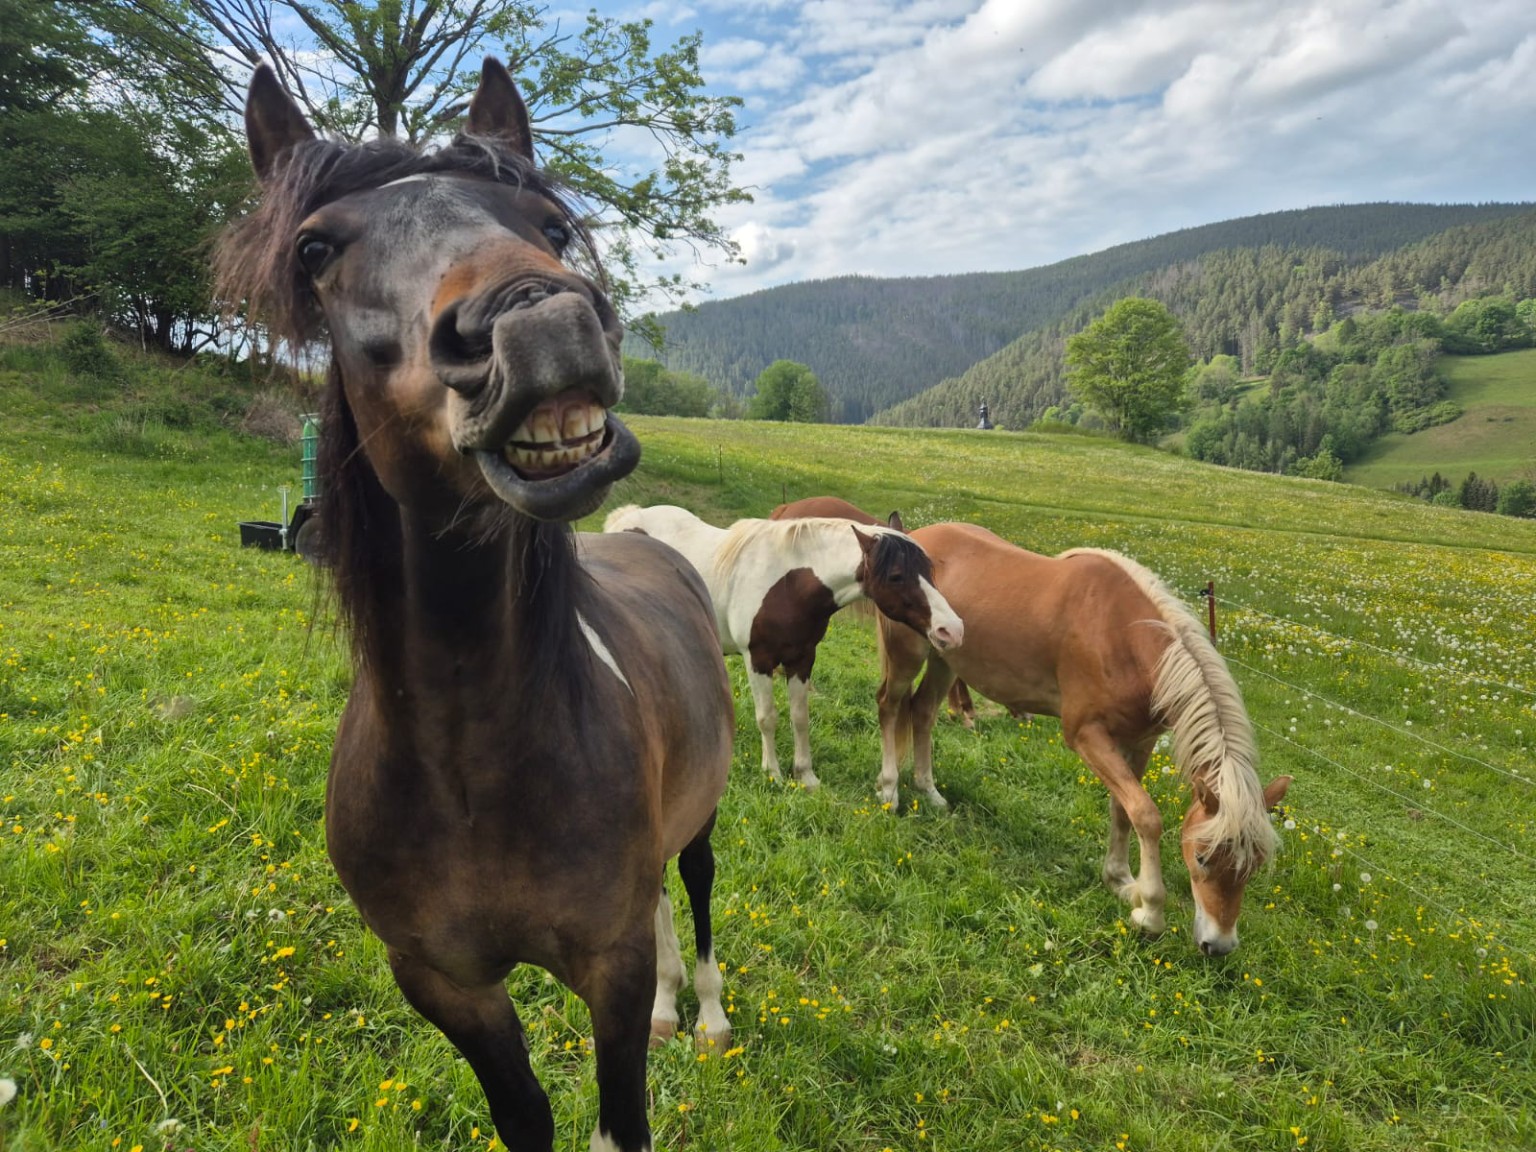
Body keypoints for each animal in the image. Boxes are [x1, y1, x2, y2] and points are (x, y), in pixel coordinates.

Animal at [219, 61, 735, 1152]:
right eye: (315, 248)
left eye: (551, 224)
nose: (538, 323)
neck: (472, 765)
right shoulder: (444, 985)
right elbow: (525, 1114)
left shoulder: (608, 968)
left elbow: (619, 1120)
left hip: (705, 818)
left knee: (700, 890)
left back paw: (706, 1016)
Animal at [604, 504, 963, 793]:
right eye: (897, 576)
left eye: (930, 569)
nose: (952, 629)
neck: (790, 585)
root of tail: (624, 520)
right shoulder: (759, 660)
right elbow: (768, 717)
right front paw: (773, 773)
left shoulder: (802, 660)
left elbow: (800, 716)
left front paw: (805, 775)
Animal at [875, 522, 1291, 955]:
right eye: (1203, 857)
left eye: (1255, 865)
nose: (1219, 945)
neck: (1123, 636)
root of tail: (909, 536)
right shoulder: (1086, 735)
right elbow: (1147, 816)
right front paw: (1150, 912)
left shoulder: (1138, 742)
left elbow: (1124, 811)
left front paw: (1121, 881)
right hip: (907, 655)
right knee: (890, 706)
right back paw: (889, 790)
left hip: (944, 658)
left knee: (923, 713)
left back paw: (930, 792)